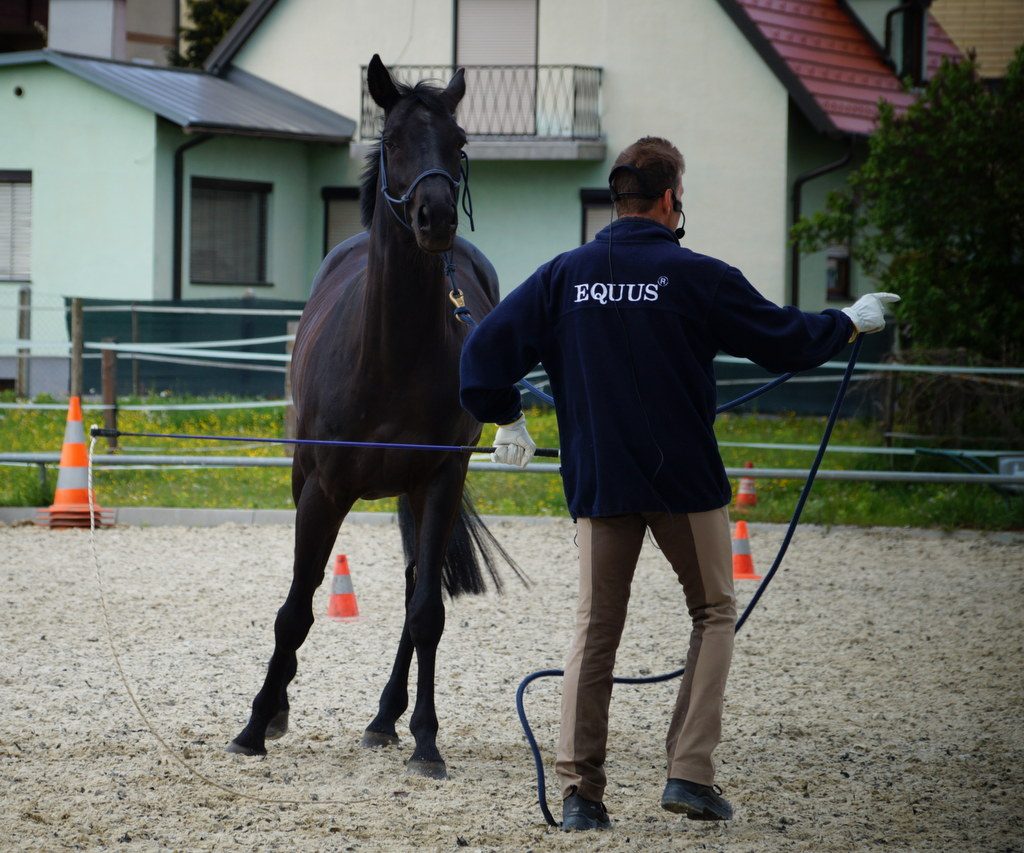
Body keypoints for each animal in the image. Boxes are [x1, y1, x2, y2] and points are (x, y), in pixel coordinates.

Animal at [229, 56, 524, 778]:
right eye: (391, 140)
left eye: (460, 142)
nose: (435, 216)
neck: (392, 355)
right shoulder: (323, 488)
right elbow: (297, 607)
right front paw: (256, 723)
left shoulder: (438, 482)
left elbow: (426, 613)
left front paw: (427, 740)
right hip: (308, 479)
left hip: (416, 498)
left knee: (420, 590)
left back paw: (387, 718)